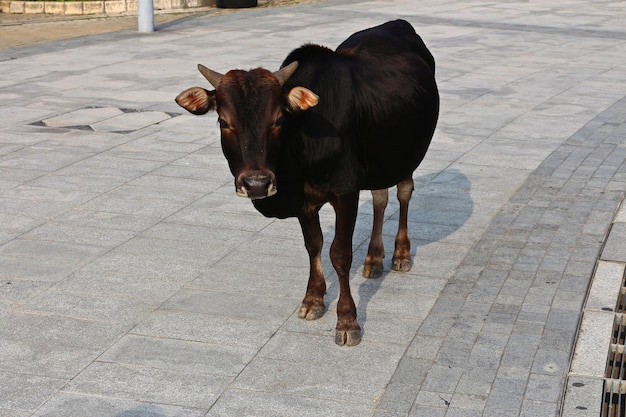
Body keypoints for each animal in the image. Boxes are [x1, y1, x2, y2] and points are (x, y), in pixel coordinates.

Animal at [176, 19, 438, 344]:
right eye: (223, 121)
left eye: (279, 119)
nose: (257, 184)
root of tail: (397, 24)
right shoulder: (303, 201)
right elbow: (314, 245)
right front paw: (313, 299)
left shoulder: (346, 191)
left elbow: (340, 253)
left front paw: (347, 320)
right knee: (380, 198)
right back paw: (374, 259)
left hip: (406, 156)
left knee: (403, 193)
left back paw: (400, 254)